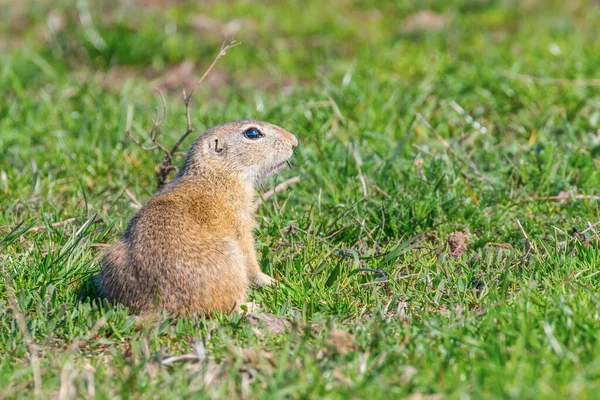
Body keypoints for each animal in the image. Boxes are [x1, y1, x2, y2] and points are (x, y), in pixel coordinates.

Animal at [99, 119, 298, 316]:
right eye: (253, 133)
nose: (294, 141)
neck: (215, 175)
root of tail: (158, 308)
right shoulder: (240, 222)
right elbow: (249, 254)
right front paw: (271, 280)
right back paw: (251, 306)